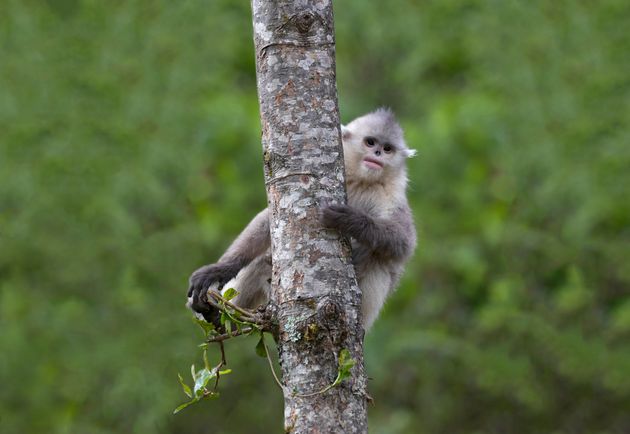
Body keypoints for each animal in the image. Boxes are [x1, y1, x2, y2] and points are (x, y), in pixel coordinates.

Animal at [185, 107, 418, 328]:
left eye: (388, 149)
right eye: (370, 142)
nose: (378, 153)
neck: (364, 182)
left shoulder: (392, 197)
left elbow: (404, 242)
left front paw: (348, 218)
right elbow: (267, 221)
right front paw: (219, 270)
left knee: (379, 258)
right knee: (260, 263)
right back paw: (221, 318)